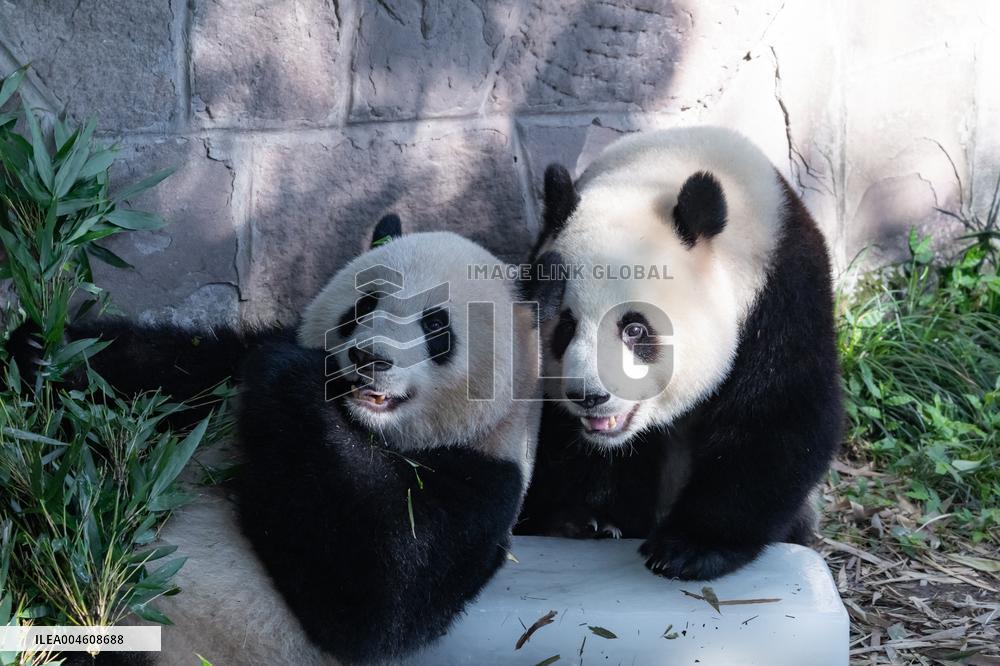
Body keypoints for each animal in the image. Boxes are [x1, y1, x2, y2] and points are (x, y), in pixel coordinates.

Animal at [44, 217, 563, 664]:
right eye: (365, 304)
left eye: (435, 325)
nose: (368, 357)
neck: (364, 428)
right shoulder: (220, 377)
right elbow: (150, 372)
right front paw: (44, 350)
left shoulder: (483, 484)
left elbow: (381, 592)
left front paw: (292, 376)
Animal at [517, 126, 843, 581]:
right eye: (565, 327)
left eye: (635, 328)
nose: (589, 397)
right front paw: (584, 519)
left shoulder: (783, 294)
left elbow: (778, 415)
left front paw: (688, 548)